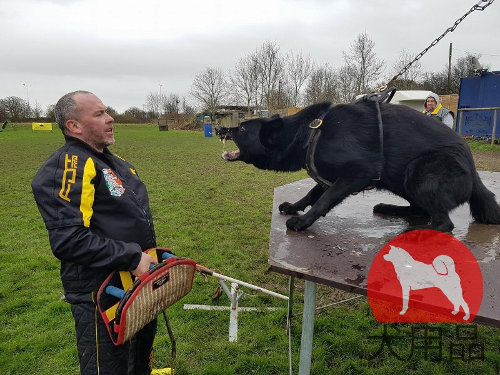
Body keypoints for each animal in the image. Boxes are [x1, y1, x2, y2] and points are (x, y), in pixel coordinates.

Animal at [217, 100, 500, 232]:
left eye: (242, 129)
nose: (219, 128)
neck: (311, 131)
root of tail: (475, 176)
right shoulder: (329, 177)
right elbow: (311, 193)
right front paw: (295, 207)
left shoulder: (356, 174)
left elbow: (323, 200)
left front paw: (303, 221)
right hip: (402, 180)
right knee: (420, 210)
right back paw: (389, 208)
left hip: (419, 171)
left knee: (442, 223)